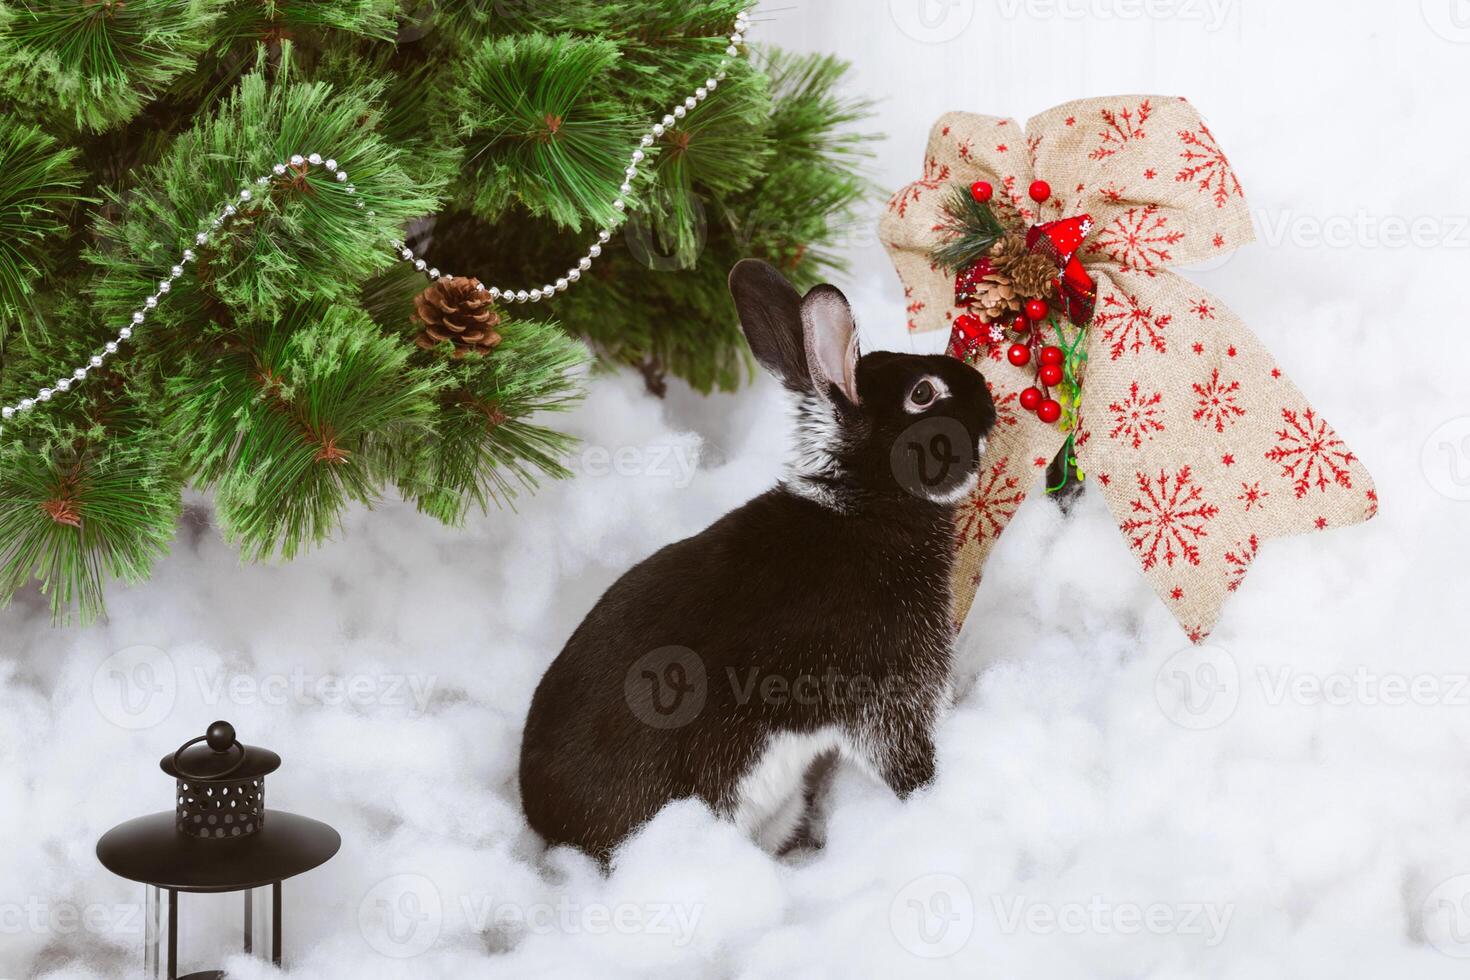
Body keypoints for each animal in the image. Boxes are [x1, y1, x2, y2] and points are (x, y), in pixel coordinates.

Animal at [517, 260, 999, 863]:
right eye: (924, 392)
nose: (988, 397)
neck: (865, 504)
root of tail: (552, 828)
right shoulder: (886, 685)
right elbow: (900, 752)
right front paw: (931, 793)